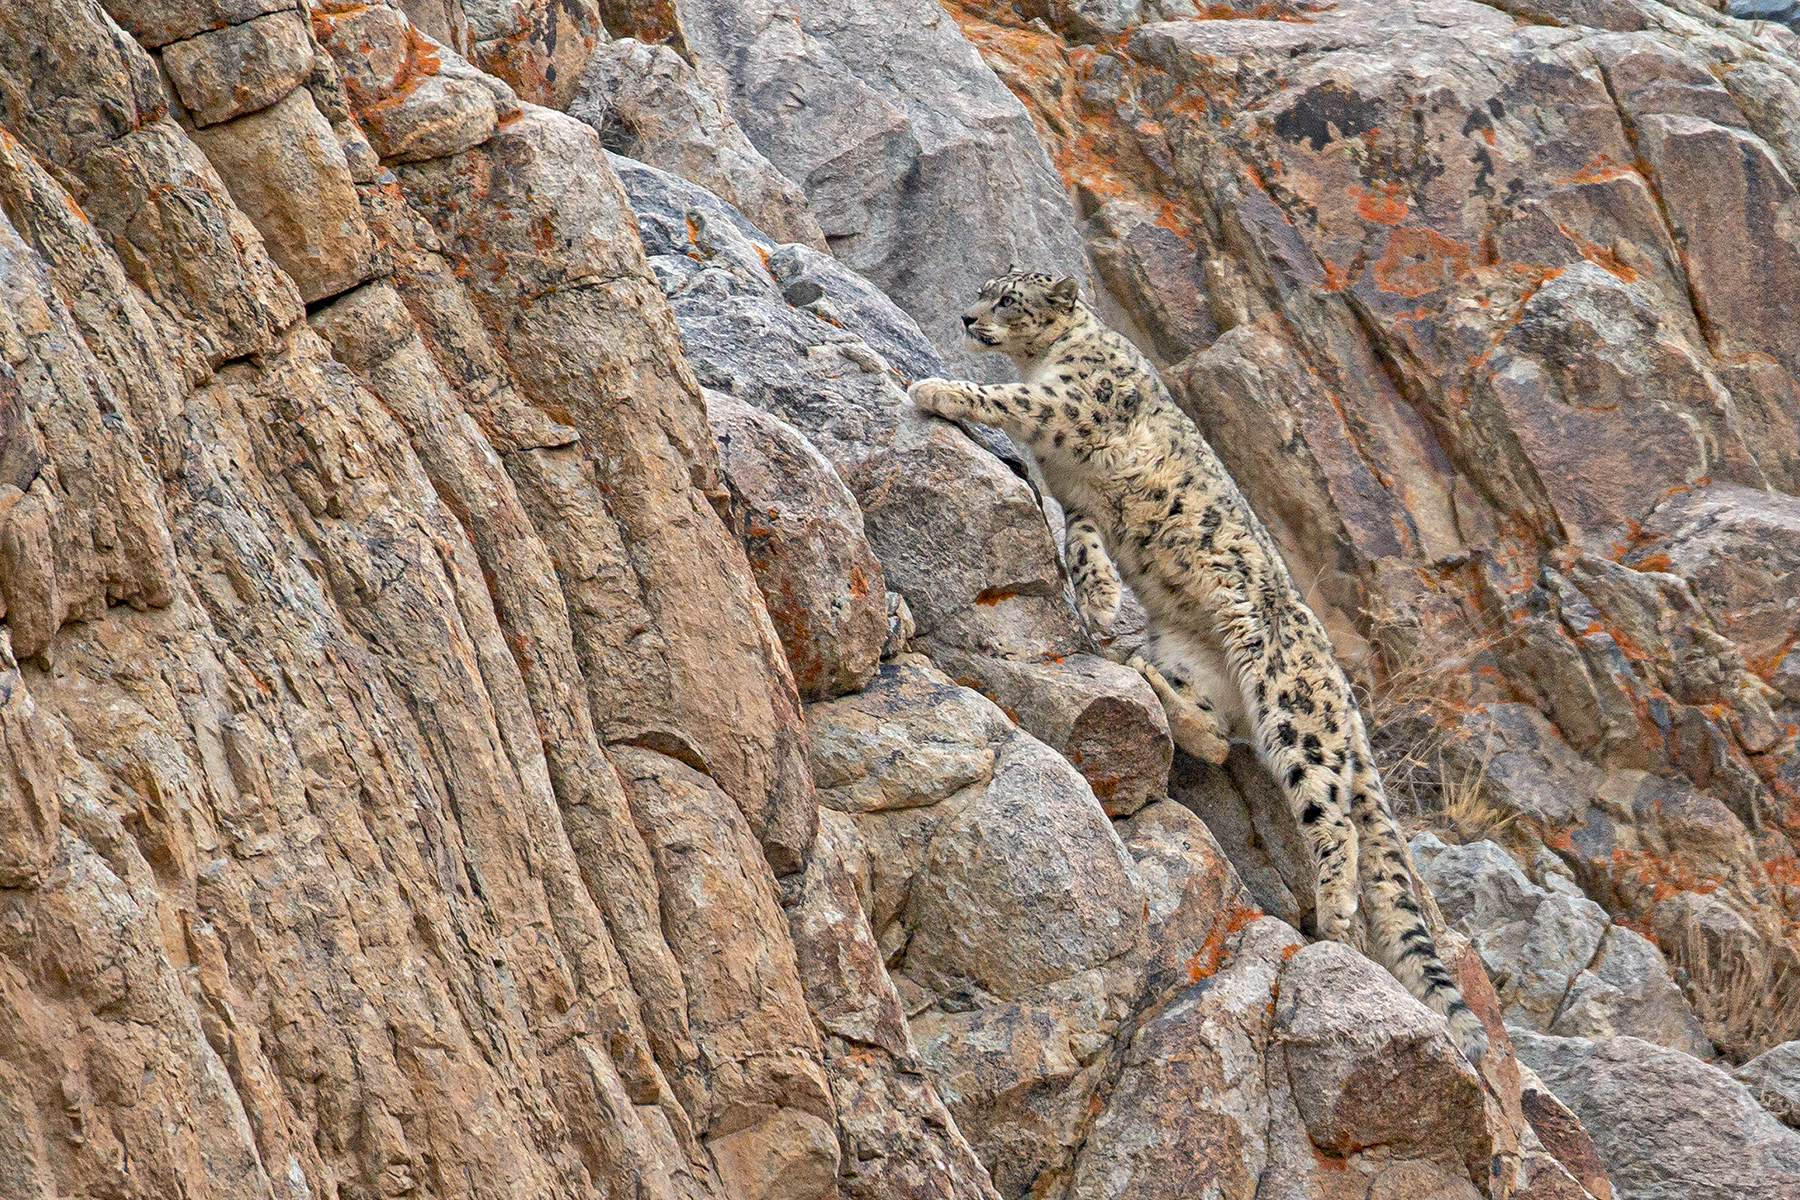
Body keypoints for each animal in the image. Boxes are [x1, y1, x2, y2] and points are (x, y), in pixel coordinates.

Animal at [914, 269, 1490, 1057]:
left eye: (1008, 297)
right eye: (982, 289)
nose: (968, 319)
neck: (1046, 360)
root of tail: (1346, 696)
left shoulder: (1073, 404)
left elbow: (1011, 402)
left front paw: (934, 389)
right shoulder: (1074, 494)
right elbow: (1083, 541)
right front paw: (1097, 600)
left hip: (1293, 714)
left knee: (1333, 816)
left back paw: (1335, 908)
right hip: (1199, 664)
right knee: (1216, 737)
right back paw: (1148, 679)